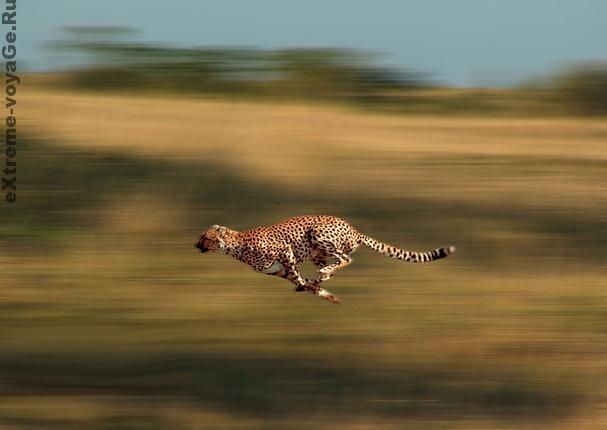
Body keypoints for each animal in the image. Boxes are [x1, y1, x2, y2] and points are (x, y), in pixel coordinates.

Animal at [195, 214, 456, 302]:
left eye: (205, 237)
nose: (195, 246)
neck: (236, 246)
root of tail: (354, 229)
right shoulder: (280, 271)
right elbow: (301, 281)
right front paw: (325, 295)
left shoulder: (286, 252)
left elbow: (299, 277)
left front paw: (312, 288)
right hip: (317, 253)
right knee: (330, 268)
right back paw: (319, 279)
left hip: (318, 235)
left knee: (345, 259)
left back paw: (323, 274)